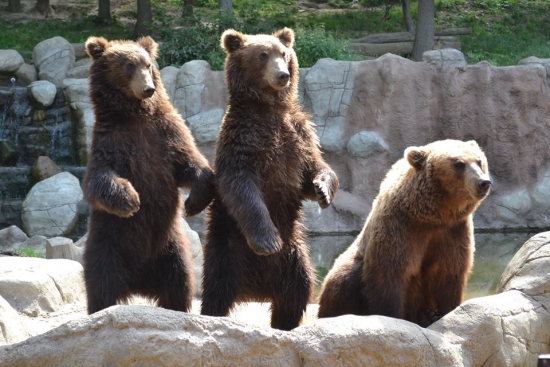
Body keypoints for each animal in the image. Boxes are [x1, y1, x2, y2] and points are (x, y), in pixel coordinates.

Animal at [83, 36, 215, 314]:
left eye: (147, 64)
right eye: (129, 65)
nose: (148, 88)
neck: (135, 114)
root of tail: (139, 283)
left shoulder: (165, 134)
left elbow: (190, 162)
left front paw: (192, 203)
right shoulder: (110, 141)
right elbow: (98, 179)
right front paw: (131, 200)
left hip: (170, 248)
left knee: (180, 283)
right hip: (107, 244)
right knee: (101, 284)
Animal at [316, 139, 494, 326]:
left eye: (479, 161)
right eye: (459, 163)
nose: (483, 182)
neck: (433, 216)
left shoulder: (454, 231)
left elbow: (450, 273)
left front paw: (447, 311)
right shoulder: (400, 228)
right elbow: (391, 275)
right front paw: (393, 316)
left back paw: (426, 315)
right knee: (342, 282)